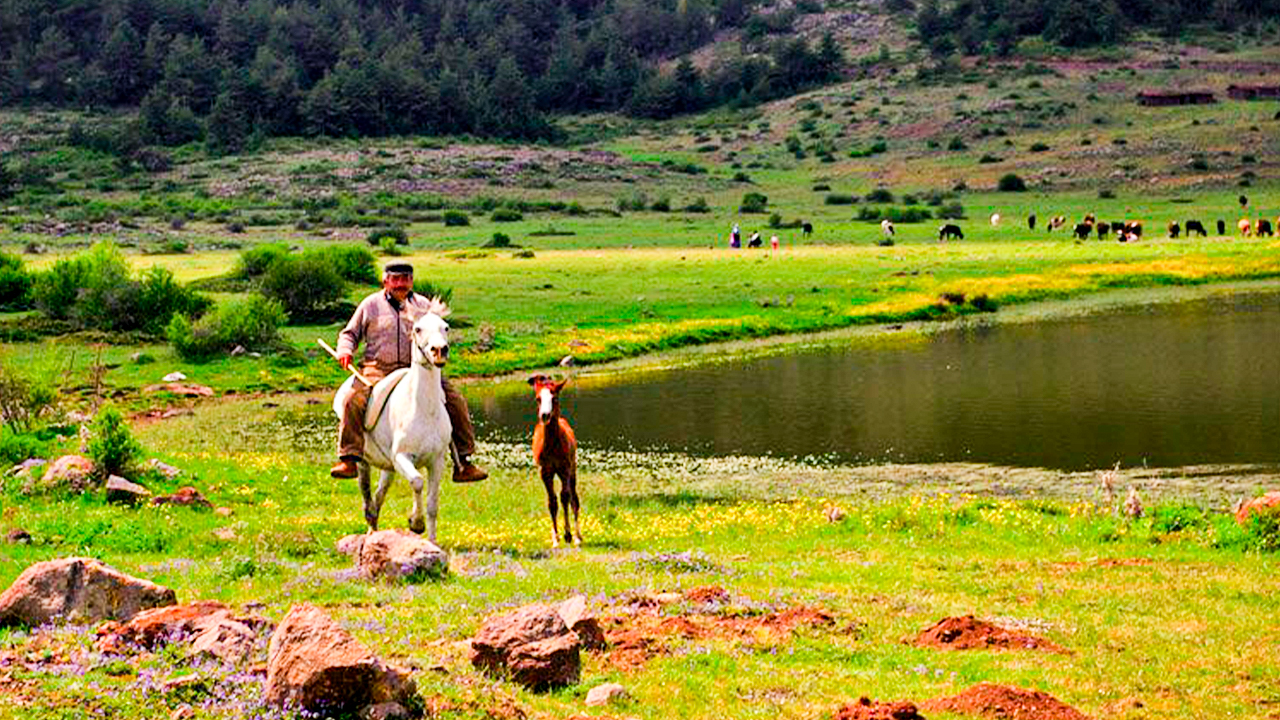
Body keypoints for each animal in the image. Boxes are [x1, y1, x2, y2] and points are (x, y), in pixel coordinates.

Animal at [332, 295, 453, 538]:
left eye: (445, 327)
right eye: (417, 329)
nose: (439, 351)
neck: (424, 409)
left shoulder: (436, 461)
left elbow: (433, 505)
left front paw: (432, 542)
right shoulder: (402, 458)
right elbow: (417, 482)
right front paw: (415, 523)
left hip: (388, 468)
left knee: (378, 499)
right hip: (363, 463)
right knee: (368, 502)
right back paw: (371, 534)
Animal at [527, 376, 583, 543]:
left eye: (554, 398)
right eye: (538, 398)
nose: (545, 415)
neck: (552, 445)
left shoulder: (565, 469)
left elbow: (565, 497)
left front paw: (568, 534)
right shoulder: (545, 472)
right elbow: (552, 501)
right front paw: (556, 538)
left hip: (572, 470)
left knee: (574, 498)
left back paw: (578, 536)